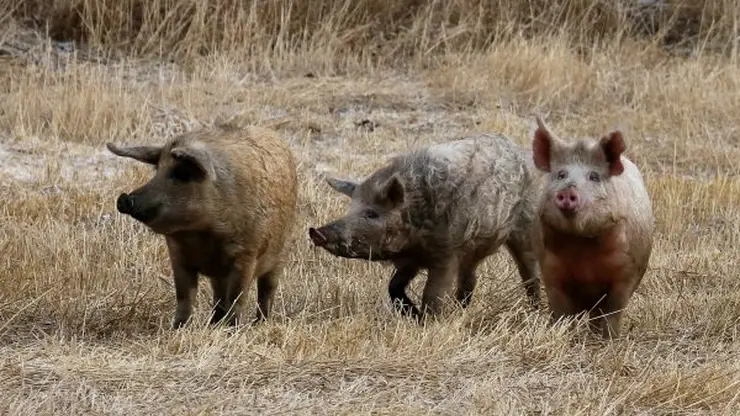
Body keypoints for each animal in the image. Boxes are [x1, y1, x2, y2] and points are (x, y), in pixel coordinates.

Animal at [107, 122, 298, 330]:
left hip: (281, 254)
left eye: (182, 173)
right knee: (219, 296)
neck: (202, 233)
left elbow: (237, 297)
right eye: (157, 170)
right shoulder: (177, 255)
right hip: (221, 276)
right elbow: (184, 296)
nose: (124, 199)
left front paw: (232, 329)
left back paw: (260, 323)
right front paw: (178, 328)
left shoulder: (247, 254)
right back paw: (214, 323)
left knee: (266, 291)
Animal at [310, 133, 540, 318]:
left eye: (371, 213)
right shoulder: (409, 260)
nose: (315, 232)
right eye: (350, 209)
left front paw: (426, 321)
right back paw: (459, 310)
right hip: (473, 251)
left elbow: (432, 295)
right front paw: (412, 314)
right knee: (470, 280)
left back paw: (535, 310)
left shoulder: (447, 253)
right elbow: (393, 286)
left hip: (525, 226)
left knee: (529, 271)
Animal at [528, 116, 656, 338]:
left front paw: (608, 340)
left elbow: (613, 311)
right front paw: (563, 334)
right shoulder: (550, 269)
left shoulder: (627, 272)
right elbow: (560, 311)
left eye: (594, 177)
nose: (567, 191)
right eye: (561, 175)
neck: (582, 245)